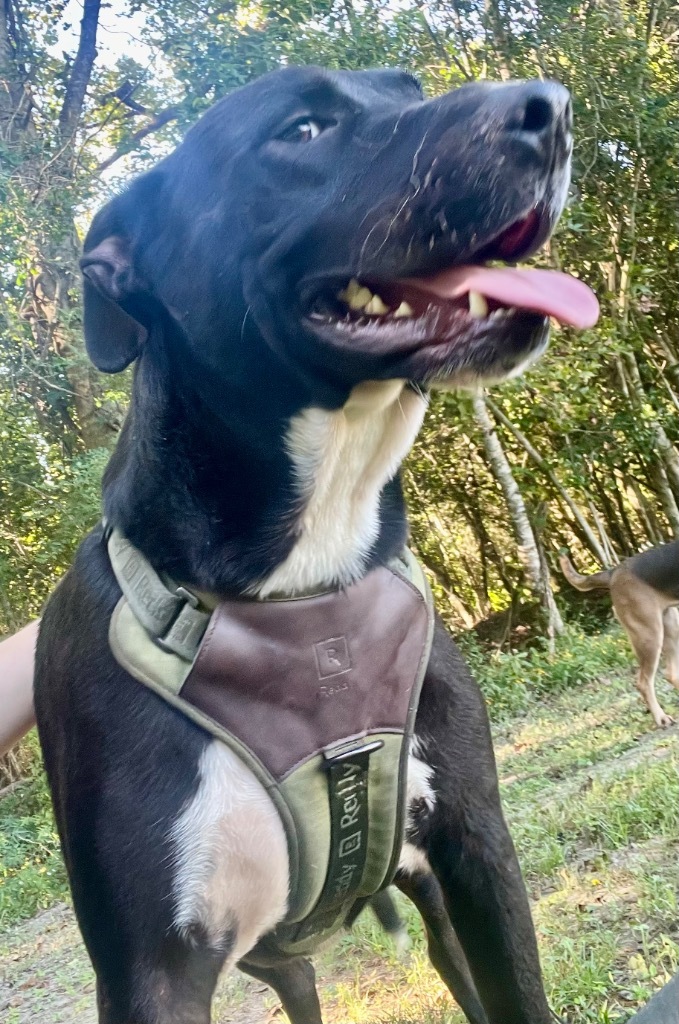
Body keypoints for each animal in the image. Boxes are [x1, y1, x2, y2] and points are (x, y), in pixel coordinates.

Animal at [34, 66, 598, 1024]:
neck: (300, 580)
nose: (552, 110)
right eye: (301, 129)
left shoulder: (475, 854)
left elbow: (519, 993)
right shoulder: (154, 973)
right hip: (280, 961)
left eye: (408, 87)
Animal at [561, 544, 679, 729]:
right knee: (644, 682)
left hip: (670, 624)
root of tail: (613, 572)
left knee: (671, 674)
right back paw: (661, 718)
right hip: (649, 634)